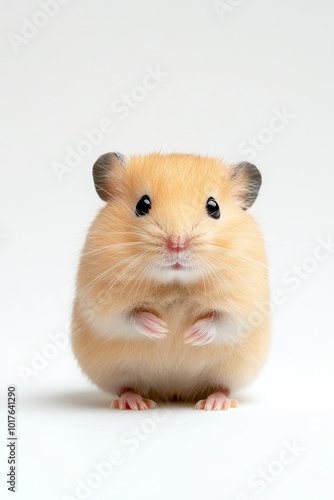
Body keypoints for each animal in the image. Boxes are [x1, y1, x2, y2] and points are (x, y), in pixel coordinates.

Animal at [72, 152, 270, 410]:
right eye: (142, 205)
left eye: (214, 207)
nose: (177, 243)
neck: (175, 283)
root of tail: (175, 392)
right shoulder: (100, 306)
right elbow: (128, 317)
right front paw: (162, 330)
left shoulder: (245, 307)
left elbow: (221, 321)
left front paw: (189, 336)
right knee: (124, 387)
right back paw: (135, 403)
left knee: (222, 387)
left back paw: (215, 403)